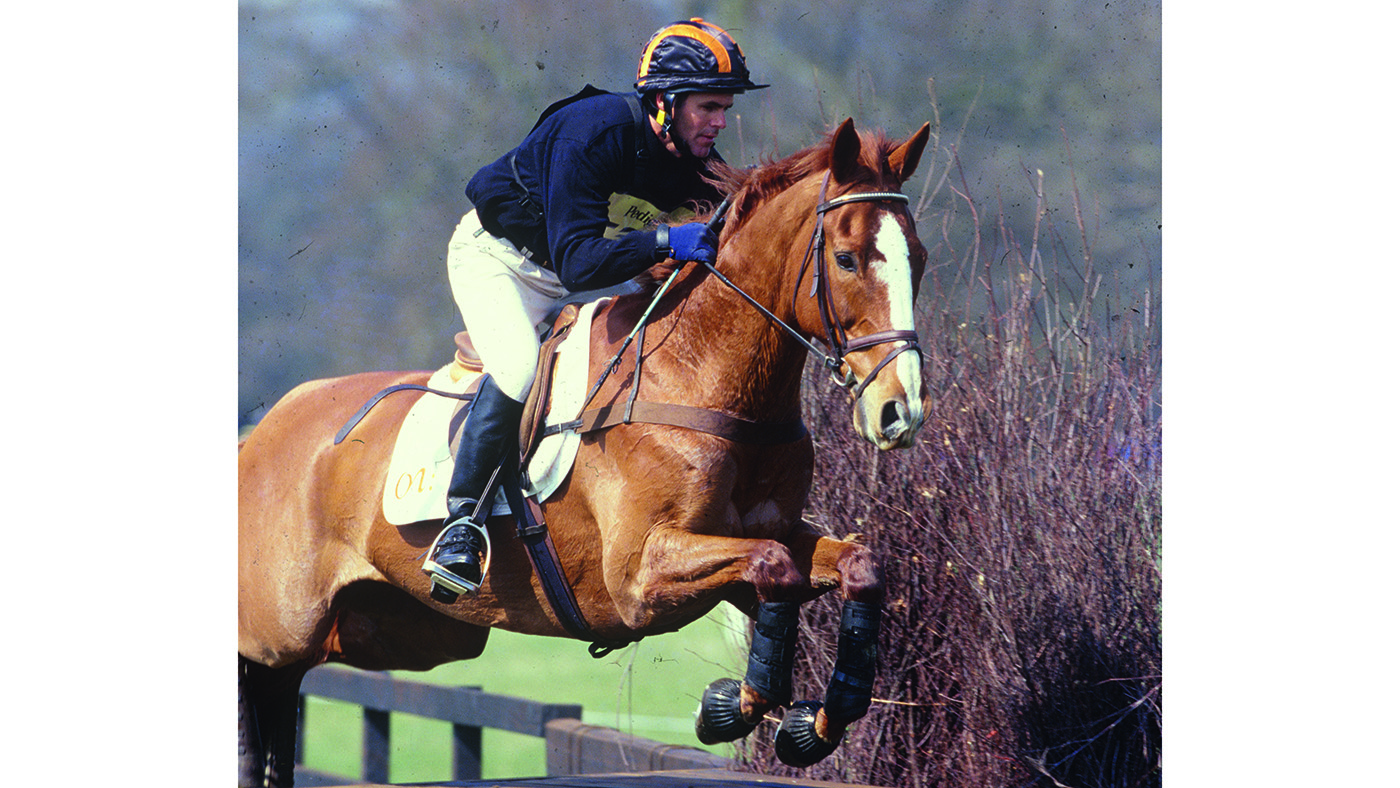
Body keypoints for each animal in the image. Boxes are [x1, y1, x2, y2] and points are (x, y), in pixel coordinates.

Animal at [240, 118, 929, 788]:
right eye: (846, 259)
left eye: (917, 260)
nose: (902, 411)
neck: (699, 370)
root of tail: (264, 429)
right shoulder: (640, 576)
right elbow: (772, 566)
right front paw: (731, 706)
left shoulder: (768, 533)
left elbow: (853, 565)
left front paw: (813, 720)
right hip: (278, 631)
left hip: (400, 631)